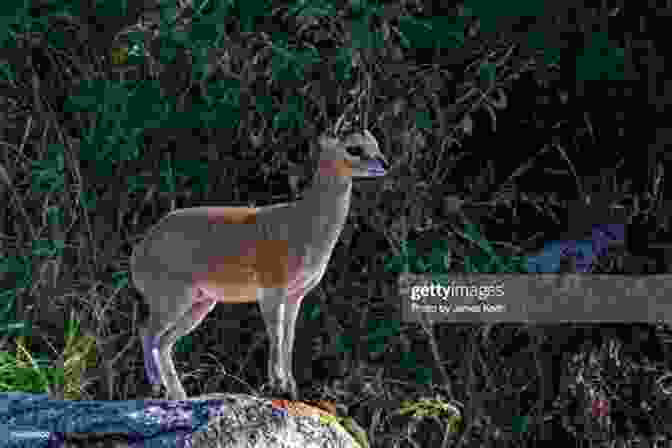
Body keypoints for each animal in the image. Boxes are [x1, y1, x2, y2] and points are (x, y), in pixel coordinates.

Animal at [131, 128, 388, 400]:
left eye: (375, 143)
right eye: (354, 148)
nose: (383, 164)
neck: (304, 222)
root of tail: (139, 251)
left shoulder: (295, 295)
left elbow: (288, 338)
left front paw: (291, 387)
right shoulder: (271, 291)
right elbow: (275, 334)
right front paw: (278, 385)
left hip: (201, 304)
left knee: (161, 340)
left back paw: (173, 393)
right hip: (173, 299)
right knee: (149, 333)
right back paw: (163, 389)